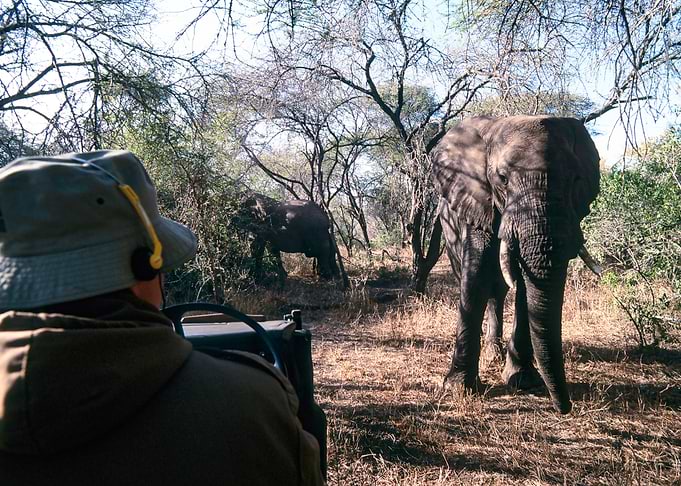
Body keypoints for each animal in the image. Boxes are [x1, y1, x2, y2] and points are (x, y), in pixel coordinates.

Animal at [432, 115, 601, 414]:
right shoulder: (477, 201)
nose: (566, 407)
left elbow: (524, 283)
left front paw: (523, 381)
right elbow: (475, 277)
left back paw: (496, 353)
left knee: (499, 291)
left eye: (575, 180)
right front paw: (458, 389)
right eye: (502, 179)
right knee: (478, 282)